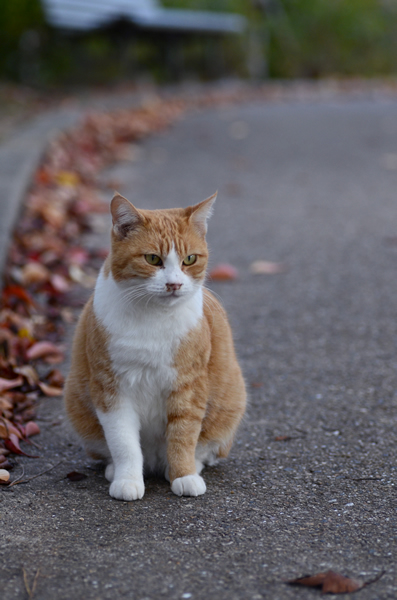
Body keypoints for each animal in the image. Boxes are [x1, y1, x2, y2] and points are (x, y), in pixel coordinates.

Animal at [63, 193, 244, 502]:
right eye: (152, 259)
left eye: (189, 259)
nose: (174, 284)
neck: (153, 317)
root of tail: (156, 463)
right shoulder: (111, 389)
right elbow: (124, 443)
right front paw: (127, 480)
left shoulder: (188, 386)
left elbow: (183, 436)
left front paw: (184, 475)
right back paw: (115, 470)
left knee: (202, 449)